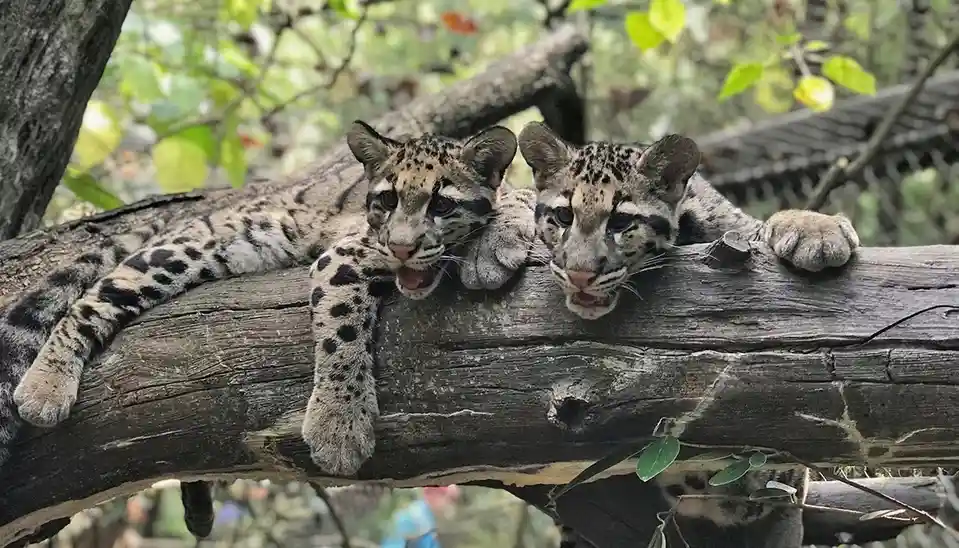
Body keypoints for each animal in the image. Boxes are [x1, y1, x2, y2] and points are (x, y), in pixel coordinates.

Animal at [0, 120, 534, 539]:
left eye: (441, 206)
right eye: (386, 200)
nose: (401, 247)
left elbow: (522, 196)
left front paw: (501, 234)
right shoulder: (343, 256)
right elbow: (342, 336)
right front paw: (339, 425)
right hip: (193, 249)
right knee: (89, 300)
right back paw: (46, 384)